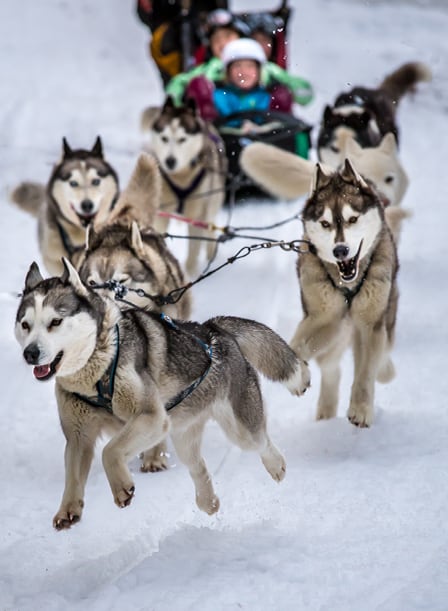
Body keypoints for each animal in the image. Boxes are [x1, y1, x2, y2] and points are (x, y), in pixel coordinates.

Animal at [14, 260, 308, 532]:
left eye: (55, 322)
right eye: (25, 325)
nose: (30, 353)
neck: (96, 369)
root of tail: (214, 330)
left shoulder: (151, 417)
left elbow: (110, 451)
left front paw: (121, 487)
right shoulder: (79, 436)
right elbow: (73, 475)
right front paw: (68, 509)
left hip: (239, 429)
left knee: (261, 441)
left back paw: (276, 465)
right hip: (182, 434)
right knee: (198, 467)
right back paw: (208, 501)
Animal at [290, 163, 400, 430]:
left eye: (352, 219)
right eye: (325, 223)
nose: (341, 250)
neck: (348, 283)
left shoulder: (371, 324)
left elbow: (366, 370)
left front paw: (361, 409)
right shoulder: (324, 317)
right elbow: (295, 346)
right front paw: (297, 376)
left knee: (379, 352)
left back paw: (385, 370)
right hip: (338, 330)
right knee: (330, 367)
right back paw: (325, 411)